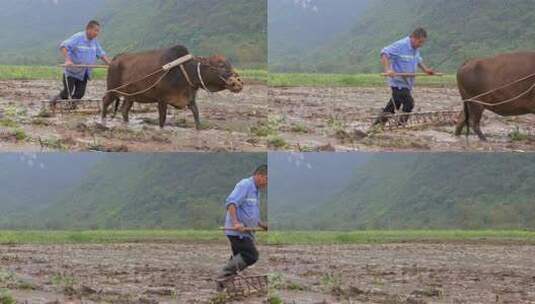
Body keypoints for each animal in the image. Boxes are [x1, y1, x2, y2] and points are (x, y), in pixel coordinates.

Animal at [101, 44, 244, 128]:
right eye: (221, 65)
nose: (238, 83)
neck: (186, 72)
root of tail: (115, 59)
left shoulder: (191, 99)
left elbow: (197, 115)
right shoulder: (162, 100)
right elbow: (162, 119)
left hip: (130, 96)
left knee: (124, 110)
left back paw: (126, 124)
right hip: (112, 90)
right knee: (105, 101)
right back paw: (102, 122)